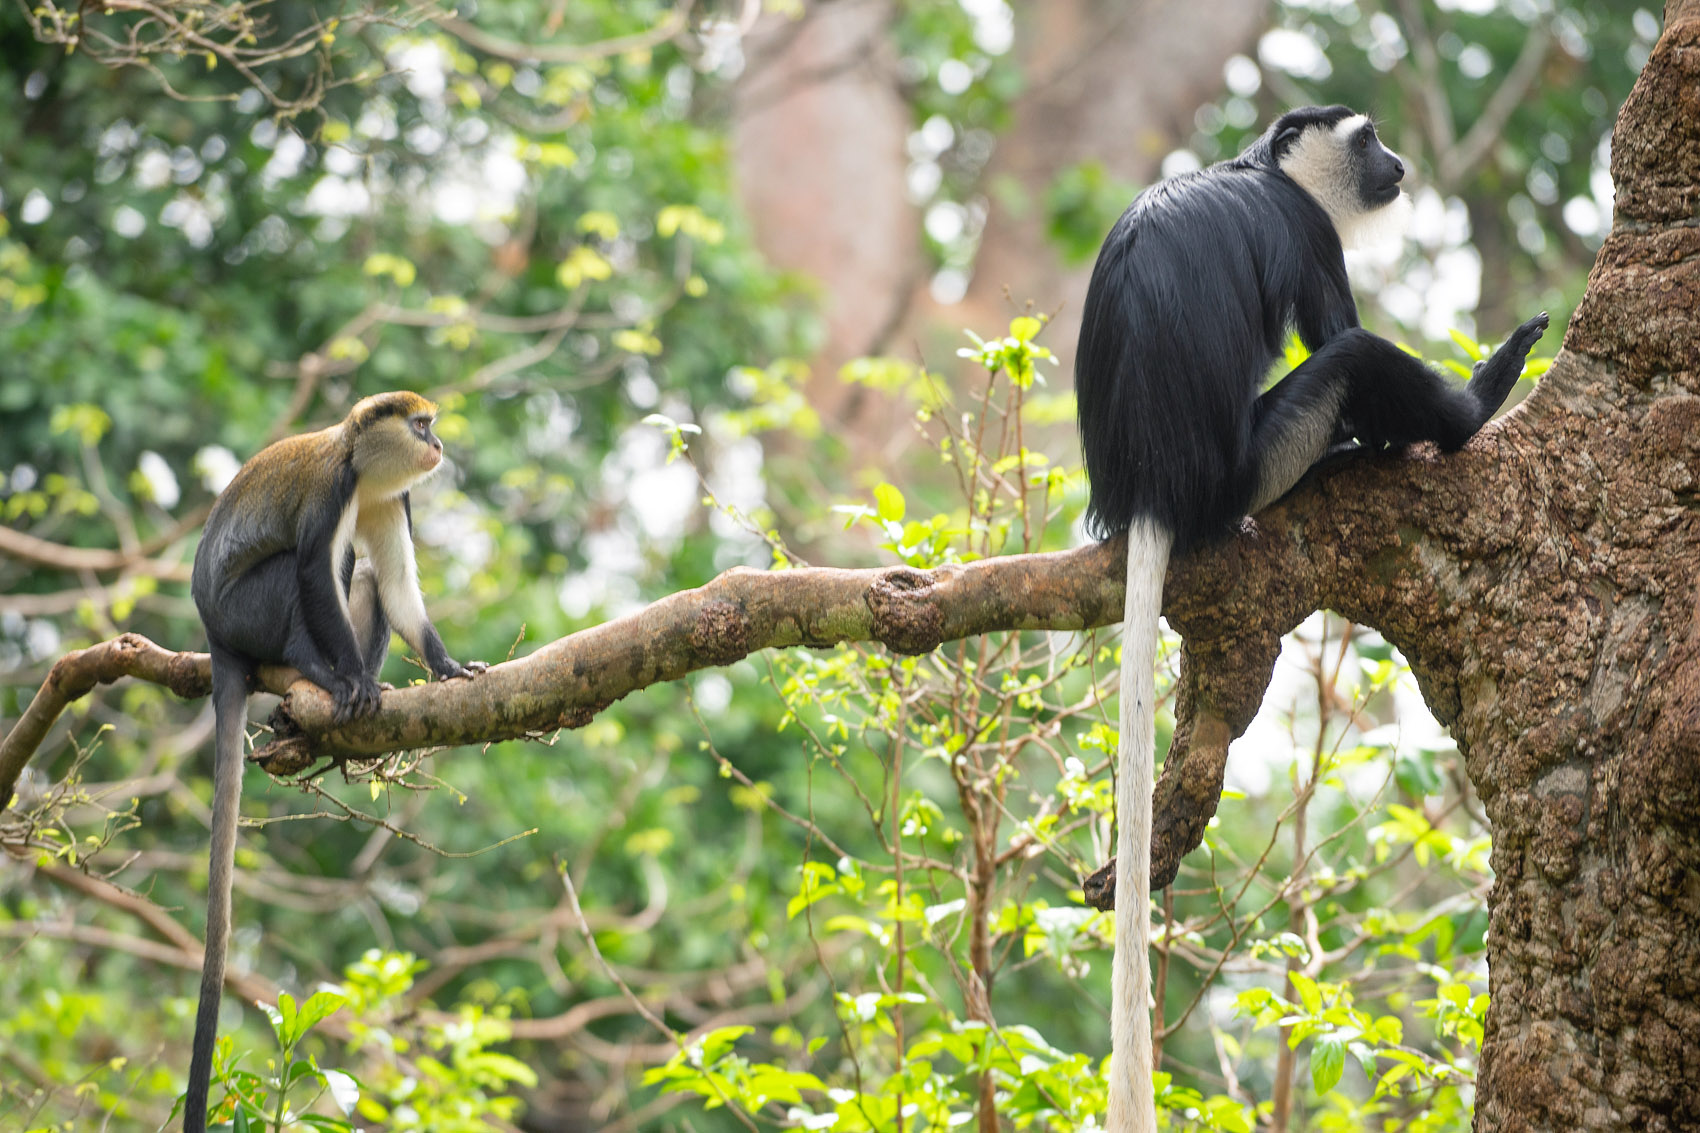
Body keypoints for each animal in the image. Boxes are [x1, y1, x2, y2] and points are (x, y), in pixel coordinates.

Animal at [183, 391, 484, 1132]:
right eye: (421, 425)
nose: (438, 446)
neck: (365, 467)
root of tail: (213, 633)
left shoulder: (393, 500)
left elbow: (397, 583)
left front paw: (446, 667)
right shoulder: (332, 490)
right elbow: (316, 573)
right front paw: (347, 677)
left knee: (368, 574)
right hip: (246, 611)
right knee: (307, 573)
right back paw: (323, 672)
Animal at [1074, 106, 1548, 1133]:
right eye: (1368, 141)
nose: (1399, 164)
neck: (1260, 170)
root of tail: (1154, 493)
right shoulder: (1306, 232)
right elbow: (1339, 330)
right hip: (1261, 459)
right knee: (1353, 362)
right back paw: (1463, 409)